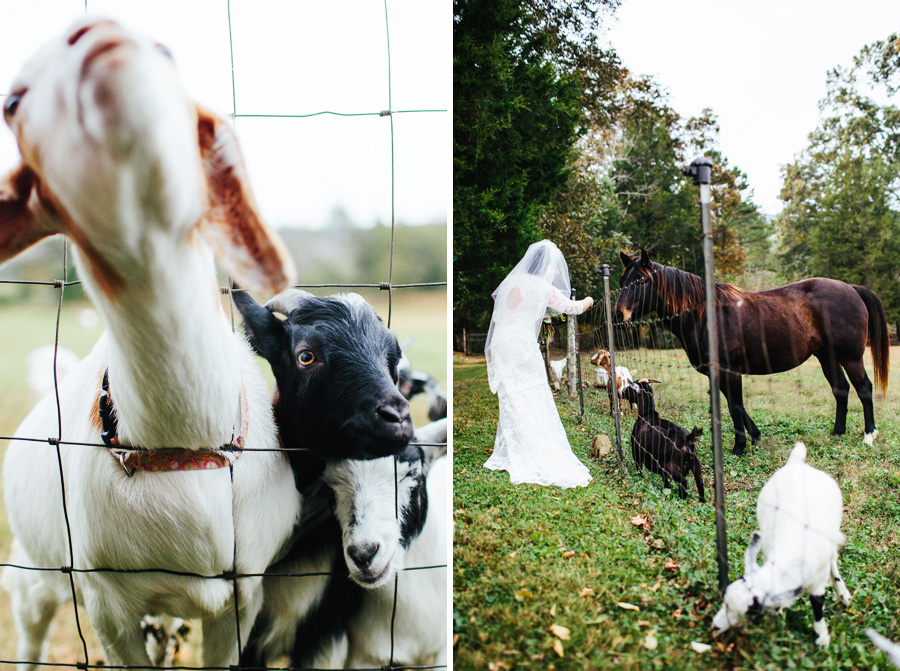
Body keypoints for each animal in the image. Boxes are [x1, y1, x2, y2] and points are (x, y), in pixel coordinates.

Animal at [0, 14, 302, 668]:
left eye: (166, 51)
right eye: (12, 102)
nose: (95, 32)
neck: (182, 445)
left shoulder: (242, 599)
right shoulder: (108, 606)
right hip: (33, 576)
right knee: (30, 635)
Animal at [616, 251, 888, 456]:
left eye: (642, 281)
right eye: (621, 281)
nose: (619, 315)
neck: (706, 315)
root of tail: (851, 289)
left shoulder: (730, 371)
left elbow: (735, 406)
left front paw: (739, 447)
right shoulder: (719, 373)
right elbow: (736, 405)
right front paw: (755, 436)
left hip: (851, 357)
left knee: (864, 388)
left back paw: (869, 435)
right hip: (826, 356)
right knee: (840, 388)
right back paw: (838, 431)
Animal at [712, 444, 852, 648]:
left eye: (750, 611)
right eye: (725, 600)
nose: (715, 626)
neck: (790, 557)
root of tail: (796, 463)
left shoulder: (817, 581)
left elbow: (818, 604)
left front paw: (822, 637)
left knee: (833, 558)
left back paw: (843, 593)